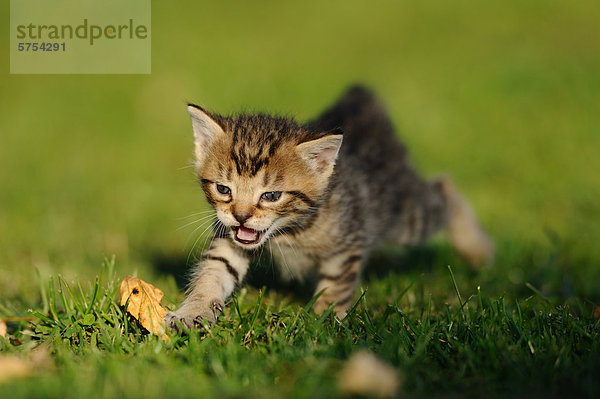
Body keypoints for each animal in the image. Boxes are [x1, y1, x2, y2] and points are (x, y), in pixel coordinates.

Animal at [164, 86, 492, 330]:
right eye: (224, 189)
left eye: (271, 196)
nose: (241, 216)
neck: (288, 232)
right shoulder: (230, 238)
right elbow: (214, 270)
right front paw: (192, 312)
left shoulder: (349, 240)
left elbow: (335, 284)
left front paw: (324, 324)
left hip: (403, 216)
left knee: (444, 189)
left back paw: (476, 249)